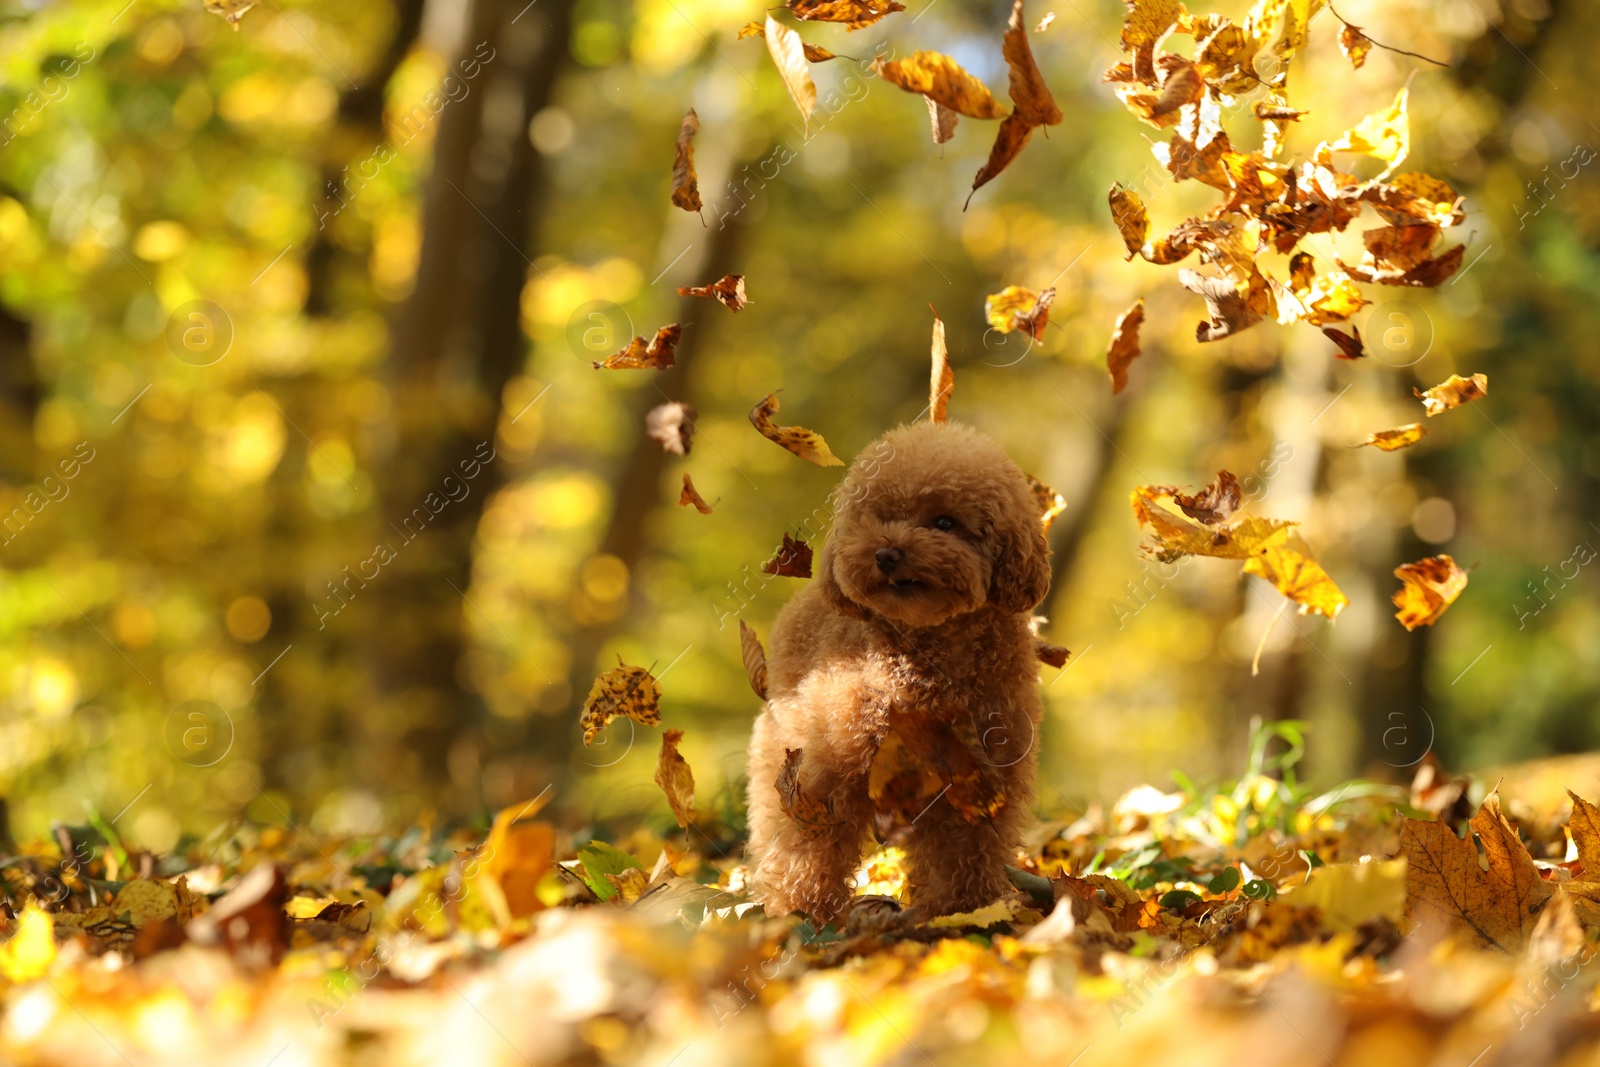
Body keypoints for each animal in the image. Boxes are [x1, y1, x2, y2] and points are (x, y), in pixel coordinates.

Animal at [745, 422, 1056, 921]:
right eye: (878, 517)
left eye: (944, 522)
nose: (886, 553)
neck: (927, 653)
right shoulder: (831, 771)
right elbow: (815, 844)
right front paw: (803, 910)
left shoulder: (982, 771)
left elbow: (966, 847)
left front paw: (964, 910)